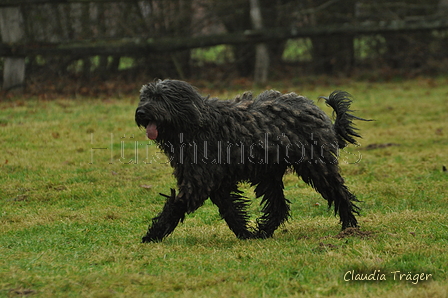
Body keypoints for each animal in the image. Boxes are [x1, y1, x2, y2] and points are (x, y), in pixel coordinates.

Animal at [135, 79, 366, 242]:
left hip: (317, 166)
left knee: (340, 194)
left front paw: (153, 234)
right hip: (269, 175)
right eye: (145, 97)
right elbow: (231, 210)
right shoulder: (217, 183)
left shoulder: (199, 182)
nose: (141, 112)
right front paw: (244, 234)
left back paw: (349, 227)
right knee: (278, 207)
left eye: (160, 98)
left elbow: (176, 205)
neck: (198, 123)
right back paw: (263, 232)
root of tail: (318, 112)